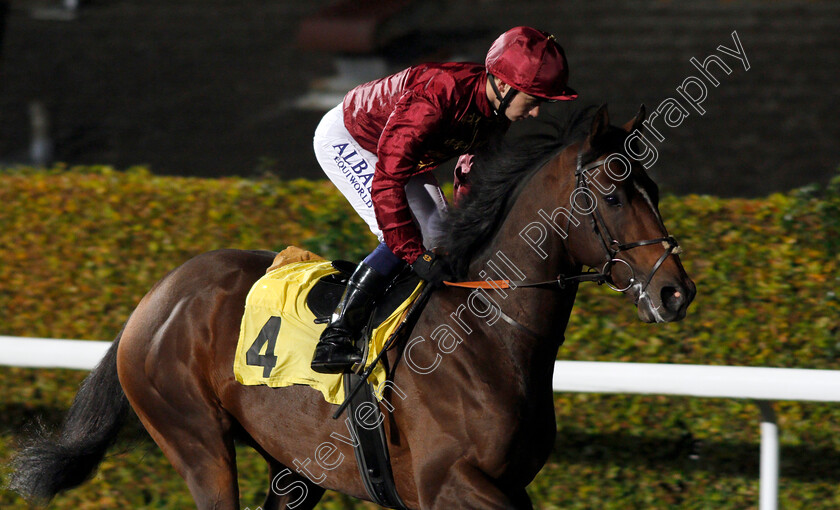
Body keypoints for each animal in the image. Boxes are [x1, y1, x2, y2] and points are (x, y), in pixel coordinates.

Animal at [11, 104, 696, 510]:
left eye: (655, 187)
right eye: (613, 193)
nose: (675, 291)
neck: (488, 334)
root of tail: (157, 298)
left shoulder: (504, 485)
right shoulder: (451, 484)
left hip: (293, 467)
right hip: (196, 442)